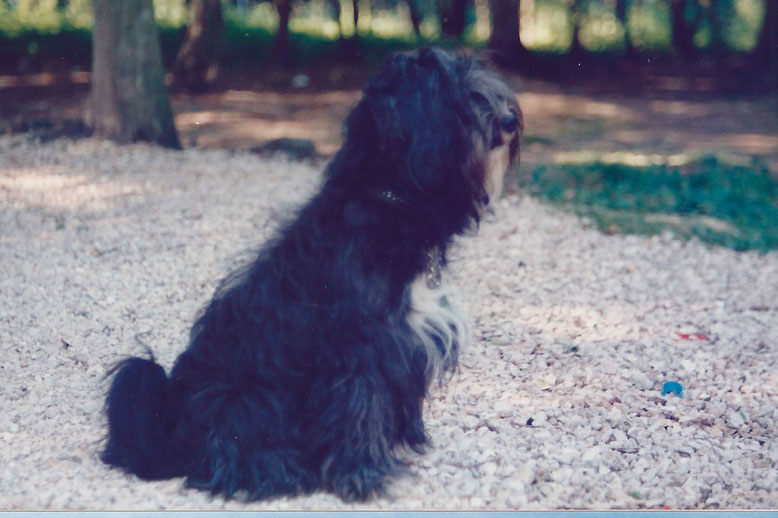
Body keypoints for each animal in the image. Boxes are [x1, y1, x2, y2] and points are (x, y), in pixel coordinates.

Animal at [100, 46, 520, 502]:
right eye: (449, 91)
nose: (509, 120)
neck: (384, 206)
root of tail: (172, 431)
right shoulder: (359, 351)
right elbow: (359, 410)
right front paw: (365, 475)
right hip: (247, 399)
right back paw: (282, 471)